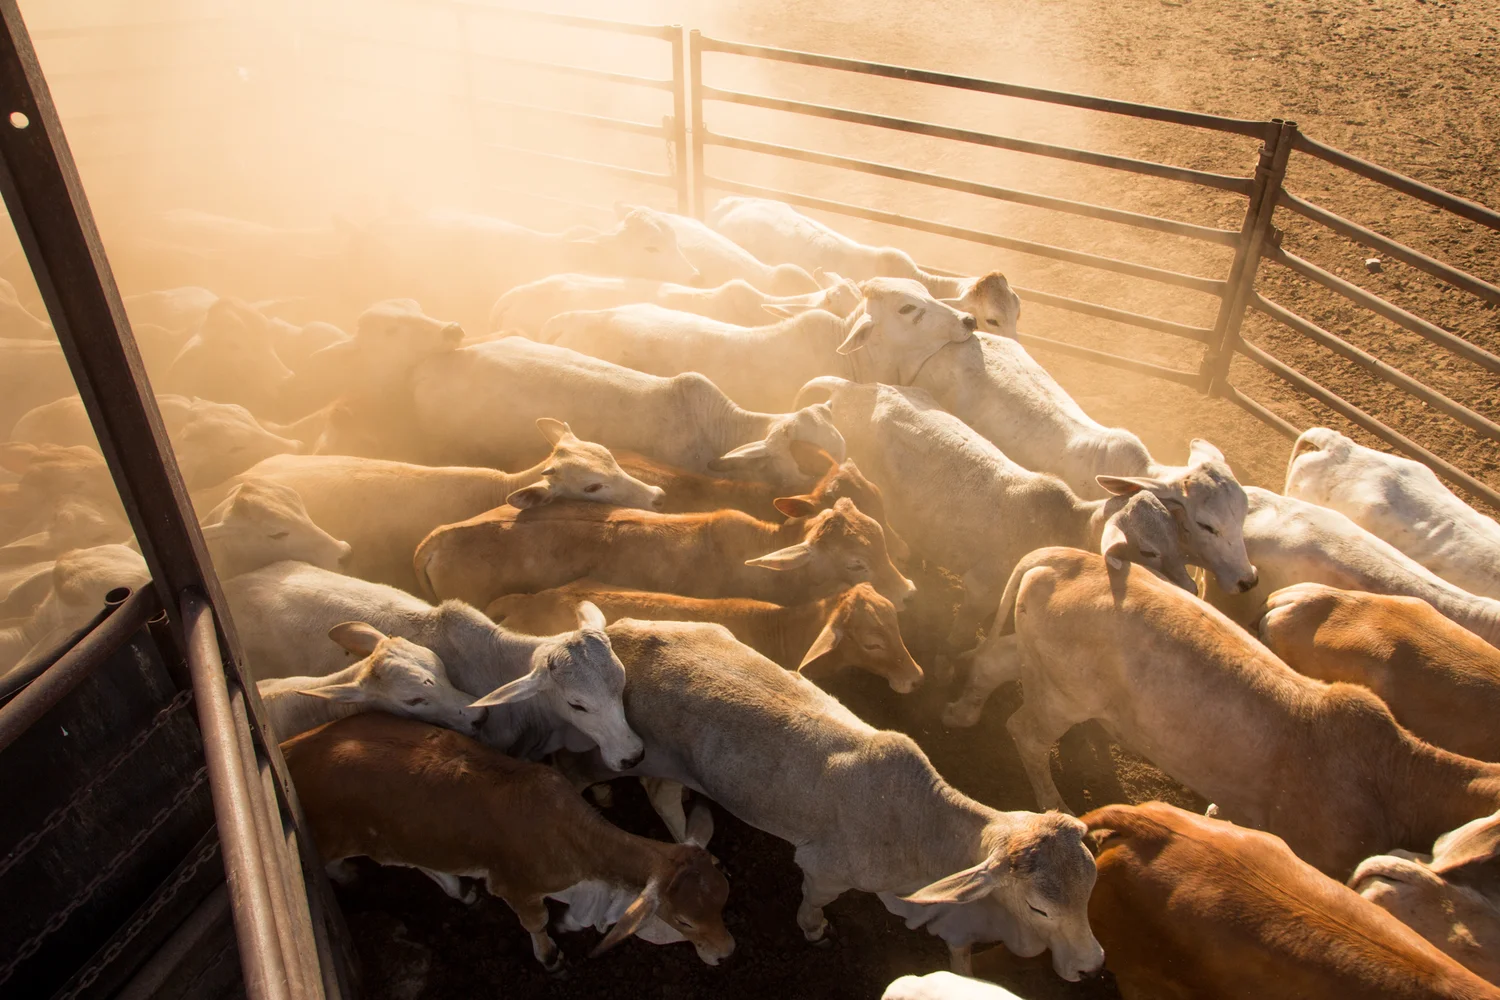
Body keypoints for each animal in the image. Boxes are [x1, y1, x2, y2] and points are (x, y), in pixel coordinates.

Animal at [283, 713, 733, 968]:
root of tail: (289, 749)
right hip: (335, 838)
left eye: (723, 897)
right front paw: (550, 957)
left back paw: (458, 888)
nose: (727, 951)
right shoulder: (516, 887)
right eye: (684, 920)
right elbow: (536, 923)